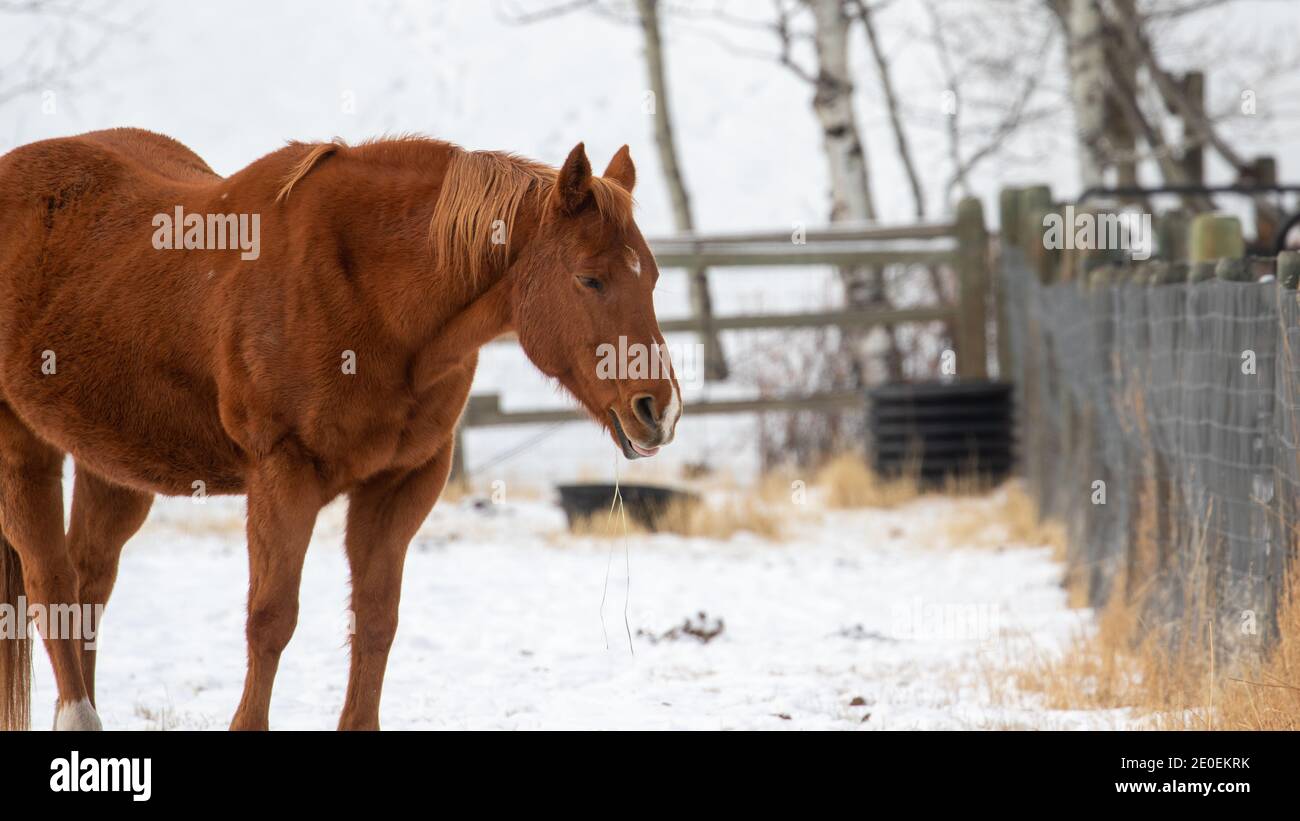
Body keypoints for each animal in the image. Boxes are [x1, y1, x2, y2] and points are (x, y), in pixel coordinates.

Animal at [0, 128, 681, 730]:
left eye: (651, 276)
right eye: (588, 278)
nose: (660, 410)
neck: (368, 293)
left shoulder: (401, 484)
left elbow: (377, 621)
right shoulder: (283, 474)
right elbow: (271, 619)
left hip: (113, 465)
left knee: (88, 584)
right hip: (23, 452)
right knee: (49, 581)